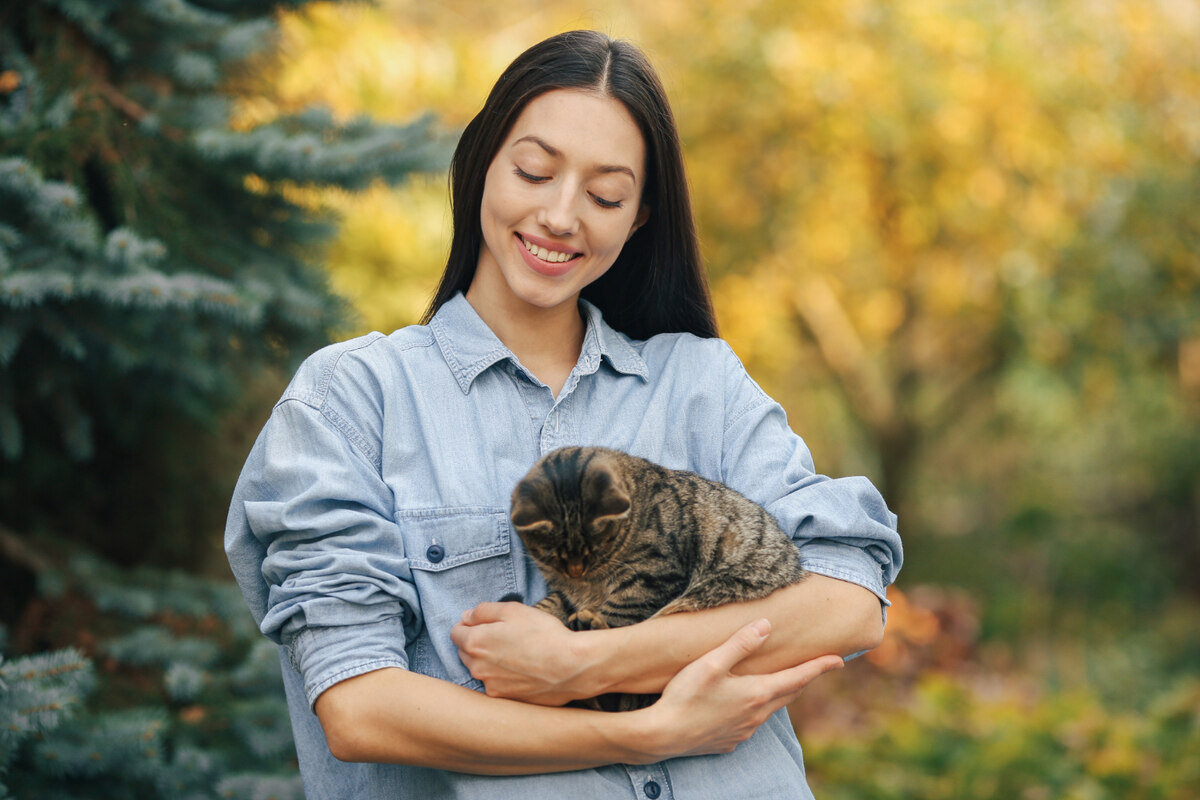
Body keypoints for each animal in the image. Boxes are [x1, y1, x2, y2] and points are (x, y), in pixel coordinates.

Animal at [506, 443, 806, 714]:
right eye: (554, 555)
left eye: (596, 549)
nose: (576, 570)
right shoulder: (570, 591)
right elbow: (555, 603)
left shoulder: (653, 576)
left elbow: (619, 612)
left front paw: (595, 621)